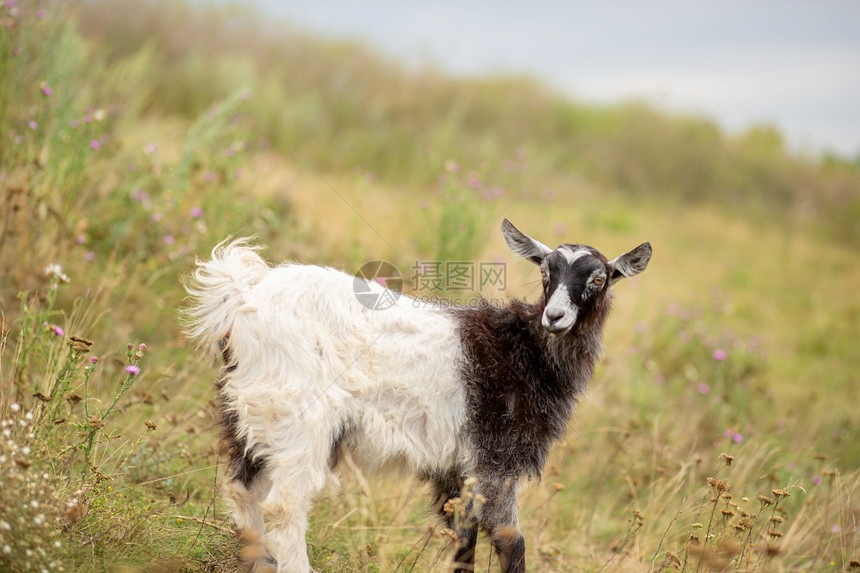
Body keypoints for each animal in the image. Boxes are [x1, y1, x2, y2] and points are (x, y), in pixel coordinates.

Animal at [183, 220, 652, 572]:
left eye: (599, 278)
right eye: (544, 273)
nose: (554, 316)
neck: (526, 350)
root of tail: (244, 296)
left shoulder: (459, 470)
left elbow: (463, 542)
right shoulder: (494, 459)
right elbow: (511, 542)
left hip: (251, 409)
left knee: (243, 488)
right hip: (301, 416)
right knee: (284, 505)